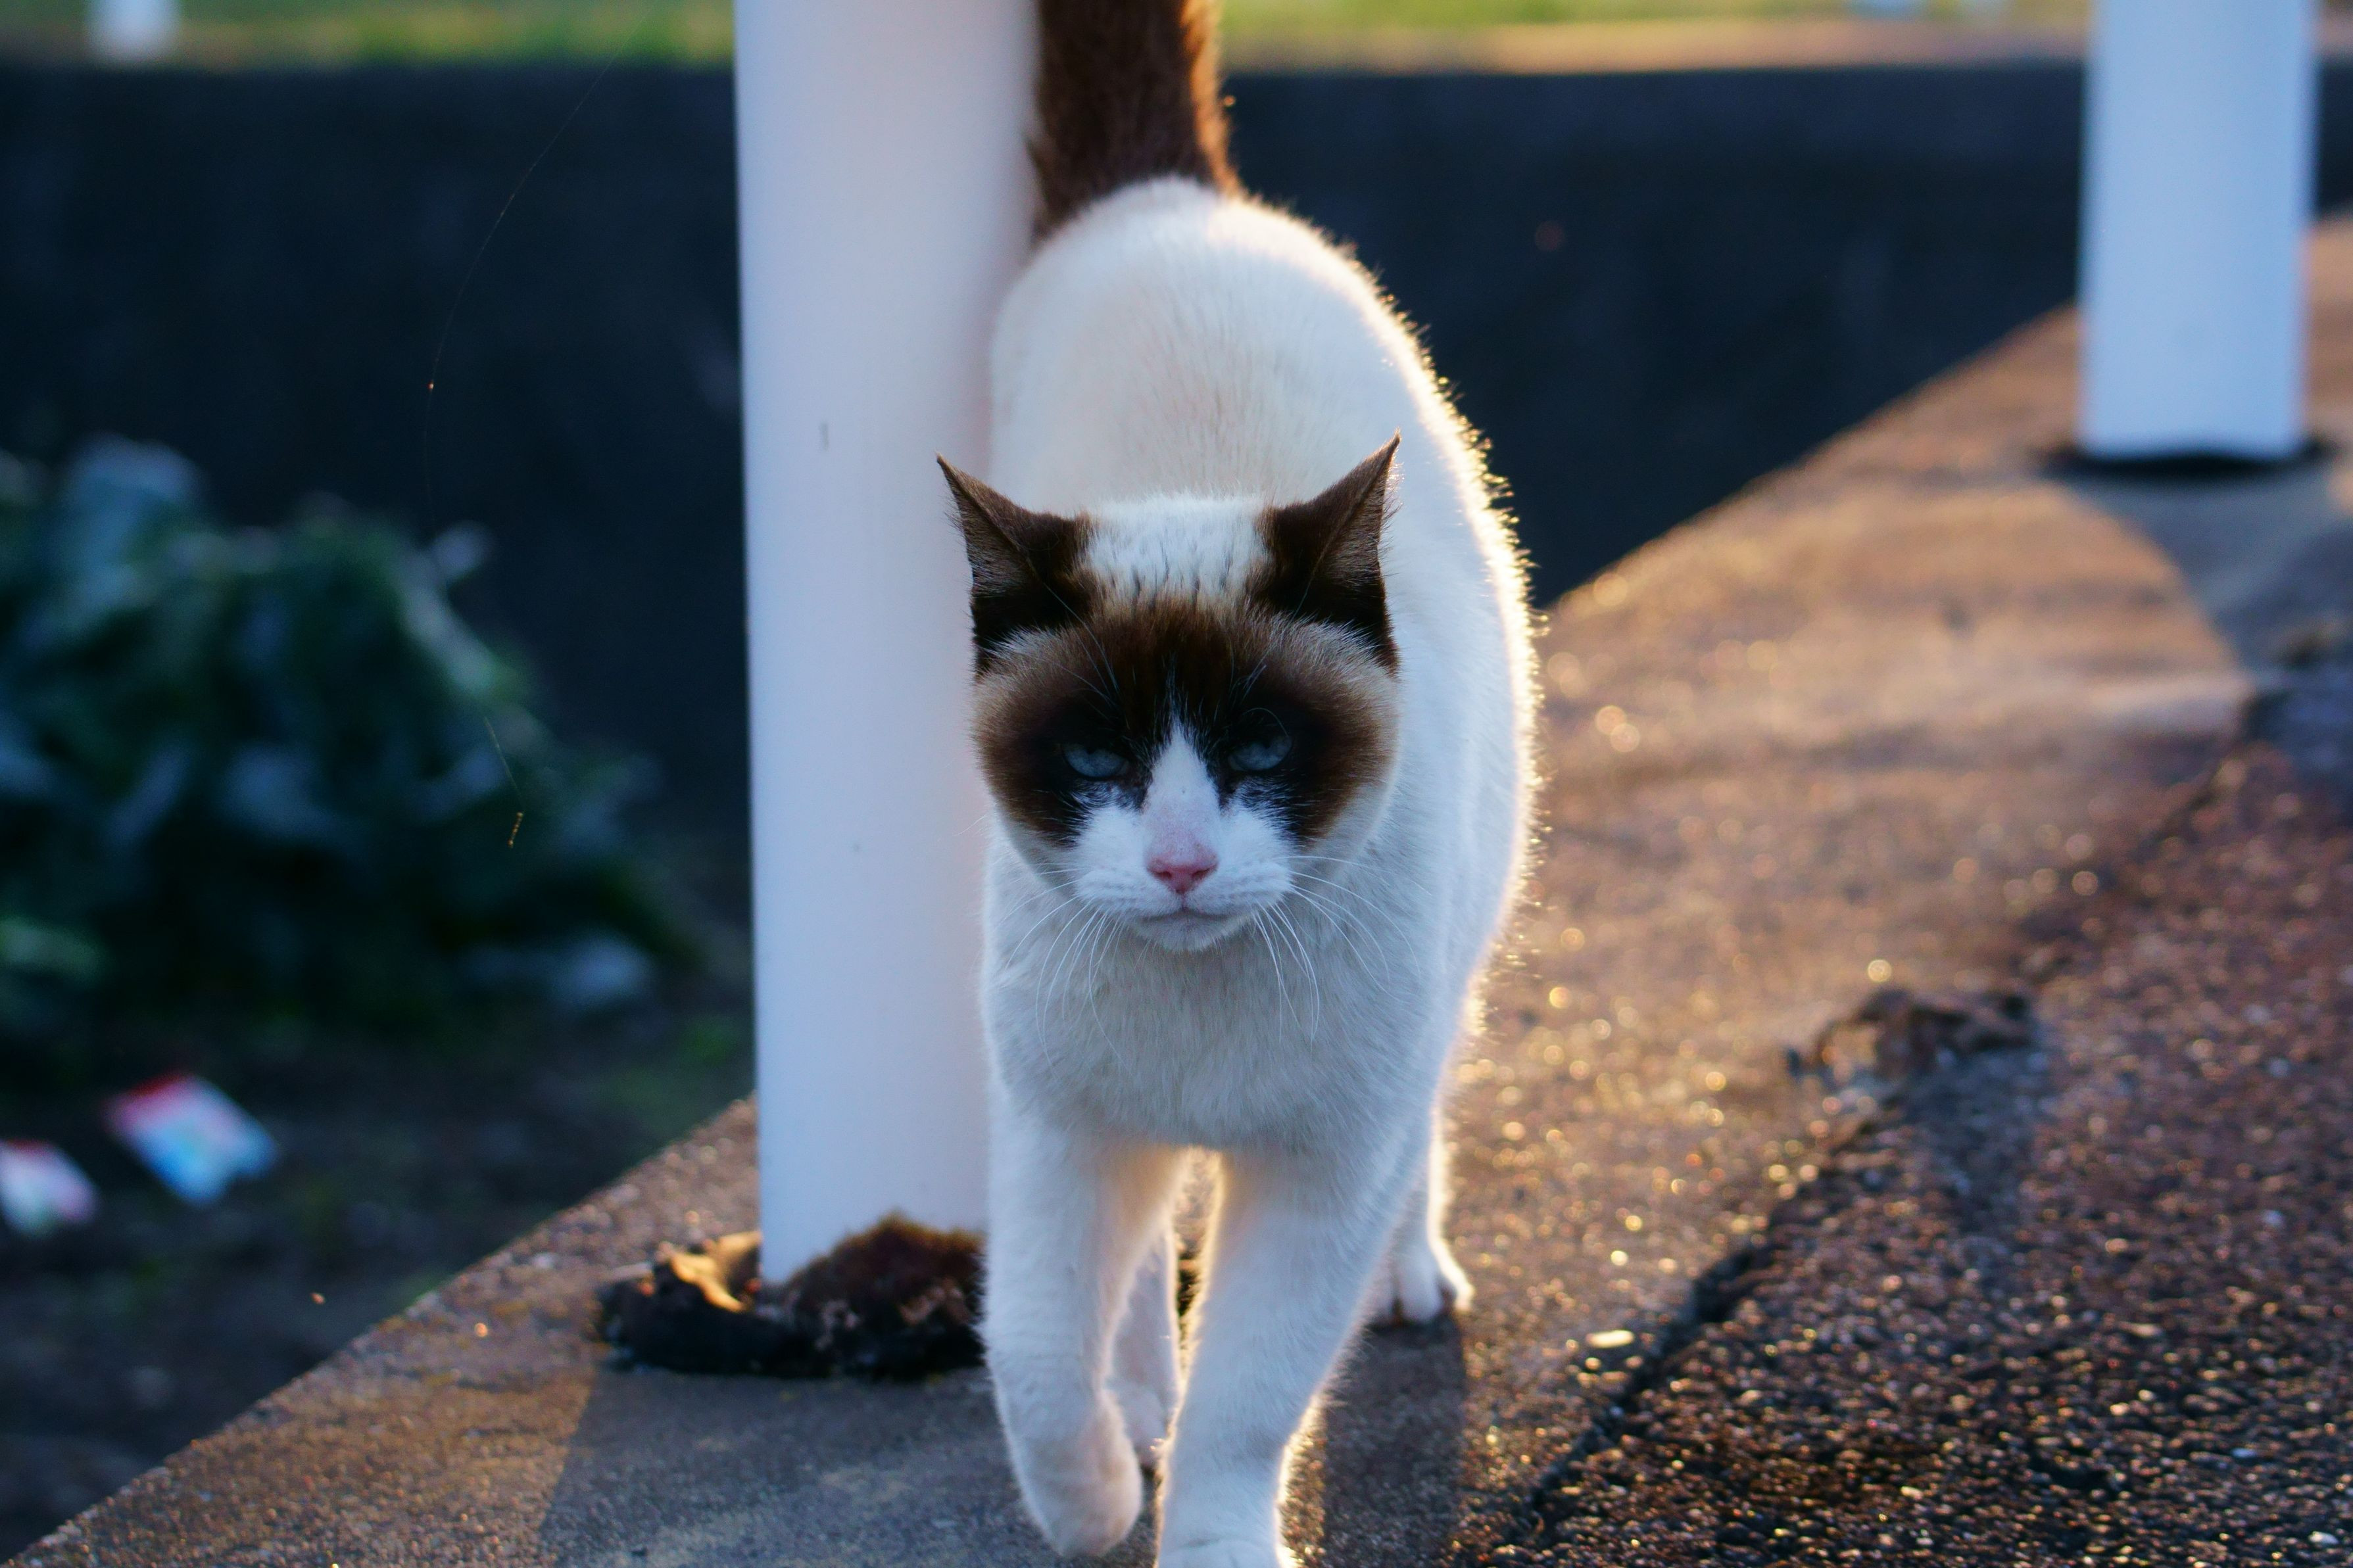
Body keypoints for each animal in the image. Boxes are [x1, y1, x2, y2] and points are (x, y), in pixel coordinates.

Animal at [941, 3, 1534, 1563]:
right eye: (1095, 760)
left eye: (1261, 752)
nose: (1180, 865)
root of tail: (1173, 206)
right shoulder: (1065, 1135)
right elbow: (1031, 1356)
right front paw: (1094, 1503)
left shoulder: (1319, 1174)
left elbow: (1248, 1406)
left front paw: (1201, 1534)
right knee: (1138, 1278)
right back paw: (1136, 1404)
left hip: (1443, 985)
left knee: (1420, 1127)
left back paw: (1406, 1280)